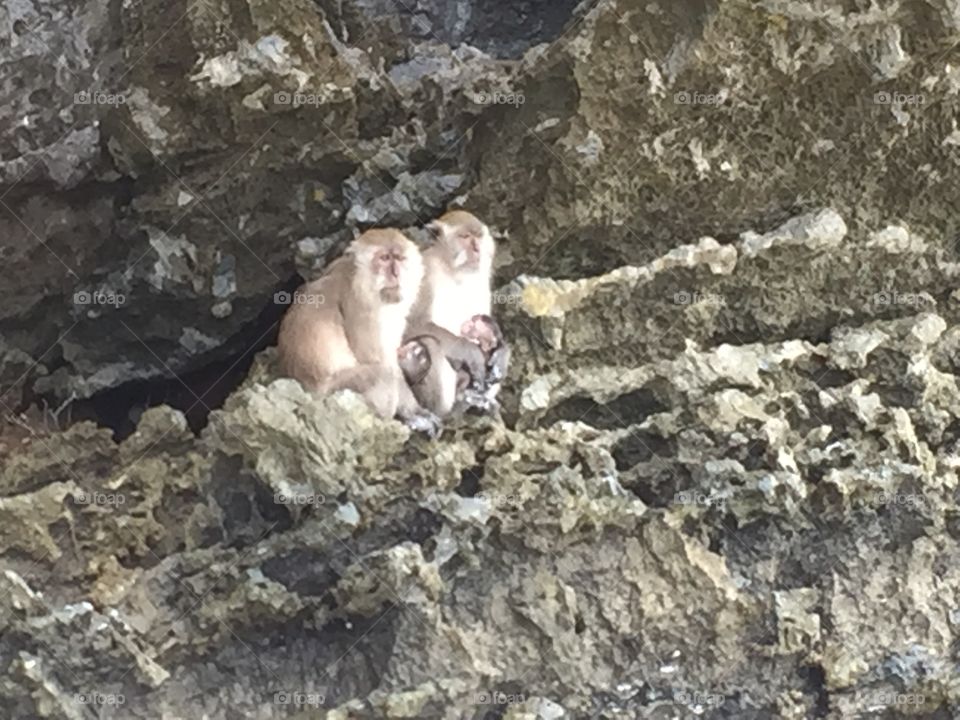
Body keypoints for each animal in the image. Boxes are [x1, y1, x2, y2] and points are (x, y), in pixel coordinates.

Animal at [277, 228, 441, 436]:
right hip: (337, 392)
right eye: (384, 258)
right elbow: (380, 362)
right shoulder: (363, 306)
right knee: (383, 374)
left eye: (399, 258)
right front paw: (413, 412)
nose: (396, 273)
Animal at [404, 210, 496, 393]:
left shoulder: (481, 282)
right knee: (429, 342)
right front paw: (473, 353)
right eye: (465, 236)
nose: (477, 248)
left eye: (478, 236)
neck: (453, 271)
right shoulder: (425, 276)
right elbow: (412, 325)